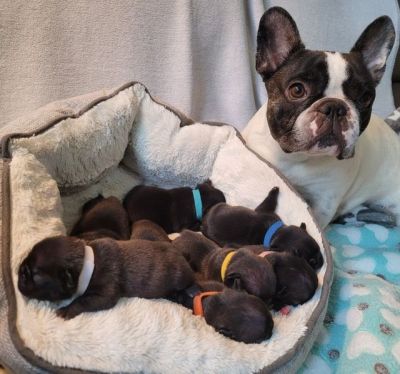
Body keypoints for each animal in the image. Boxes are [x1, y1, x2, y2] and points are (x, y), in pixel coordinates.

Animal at [18, 237, 194, 318]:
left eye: (35, 274)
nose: (19, 271)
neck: (88, 264)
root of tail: (182, 256)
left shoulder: (105, 292)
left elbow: (83, 300)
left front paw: (66, 310)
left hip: (181, 277)